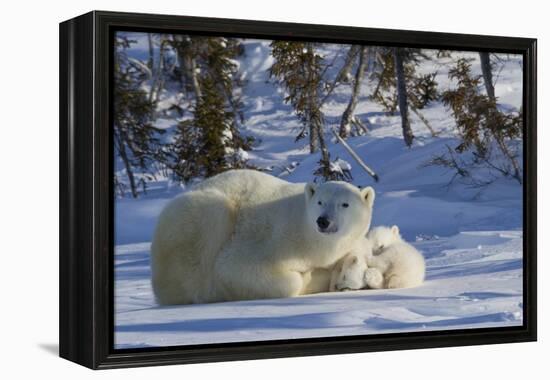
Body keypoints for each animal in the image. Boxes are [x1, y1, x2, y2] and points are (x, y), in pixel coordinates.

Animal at [152, 169, 376, 306]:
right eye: (320, 202)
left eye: (345, 204)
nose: (323, 221)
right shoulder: (274, 239)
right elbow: (234, 269)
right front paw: (313, 276)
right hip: (200, 220)